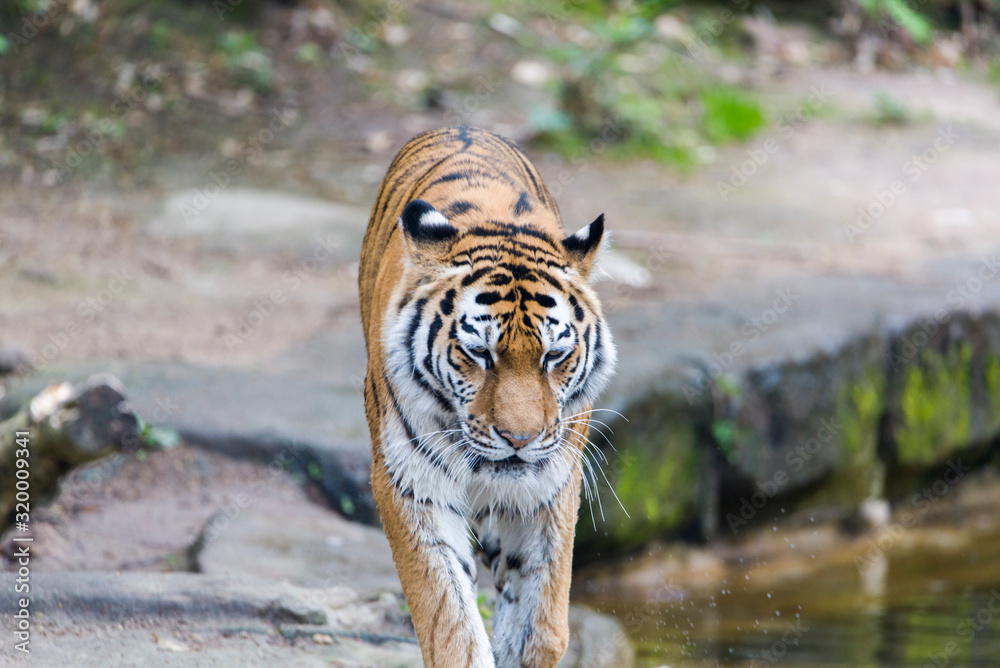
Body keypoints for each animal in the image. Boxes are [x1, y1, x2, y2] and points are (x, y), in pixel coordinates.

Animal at [358, 126, 616, 667]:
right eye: (478, 352)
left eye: (554, 355)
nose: (519, 440)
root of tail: (461, 127)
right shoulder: (410, 485)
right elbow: (449, 618)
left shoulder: (552, 485)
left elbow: (542, 624)